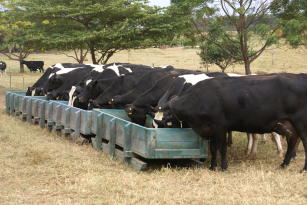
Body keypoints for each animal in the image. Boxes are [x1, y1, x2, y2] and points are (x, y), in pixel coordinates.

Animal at [162, 73, 306, 171]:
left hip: (301, 124)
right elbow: (213, 149)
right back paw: (284, 164)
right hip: (287, 125)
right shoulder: (211, 131)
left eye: (167, 119)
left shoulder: (220, 128)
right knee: (292, 141)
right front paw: (212, 166)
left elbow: (222, 148)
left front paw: (223, 167)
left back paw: (303, 168)